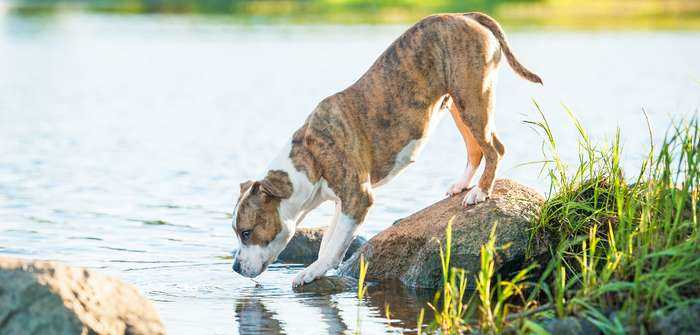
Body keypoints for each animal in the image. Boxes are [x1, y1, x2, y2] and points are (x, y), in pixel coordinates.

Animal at [230, 12, 540, 286]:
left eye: (246, 232)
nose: (234, 267)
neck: (309, 157)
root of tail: (467, 15)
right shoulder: (343, 203)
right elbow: (329, 240)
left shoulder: (358, 198)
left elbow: (333, 248)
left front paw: (311, 272)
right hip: (457, 105)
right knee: (475, 149)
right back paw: (462, 185)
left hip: (473, 98)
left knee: (495, 148)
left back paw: (480, 192)